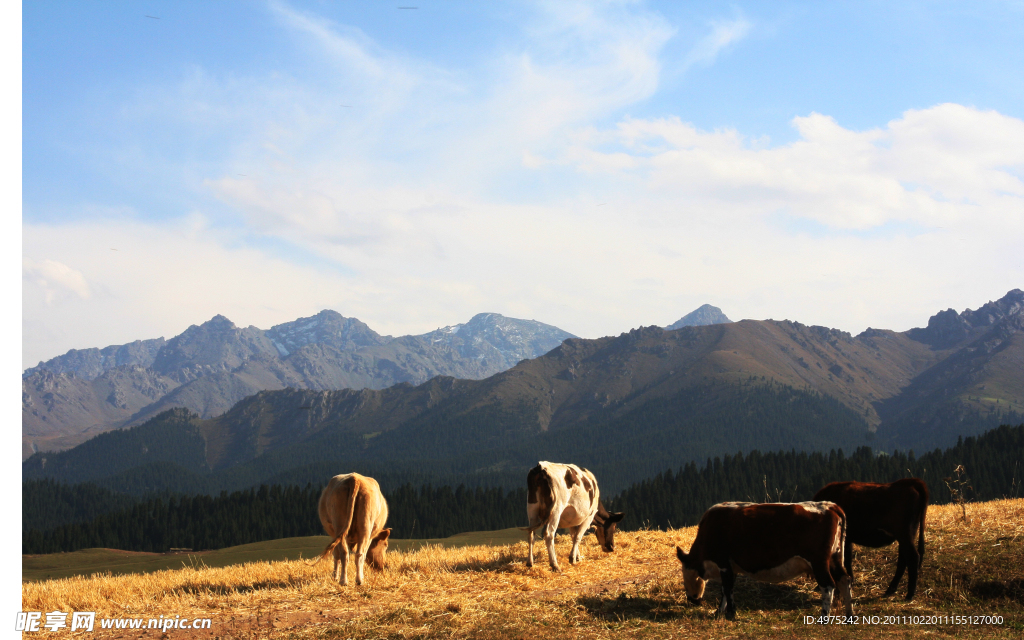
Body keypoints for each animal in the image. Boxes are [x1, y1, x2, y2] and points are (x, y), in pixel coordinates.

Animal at [675, 499, 851, 618]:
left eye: (684, 576)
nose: (692, 599)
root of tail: (830, 506)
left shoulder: (723, 562)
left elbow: (727, 588)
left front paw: (730, 614)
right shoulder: (731, 566)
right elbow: (726, 590)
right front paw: (720, 611)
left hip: (819, 561)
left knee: (828, 585)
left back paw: (824, 617)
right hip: (835, 557)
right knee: (844, 579)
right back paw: (850, 616)